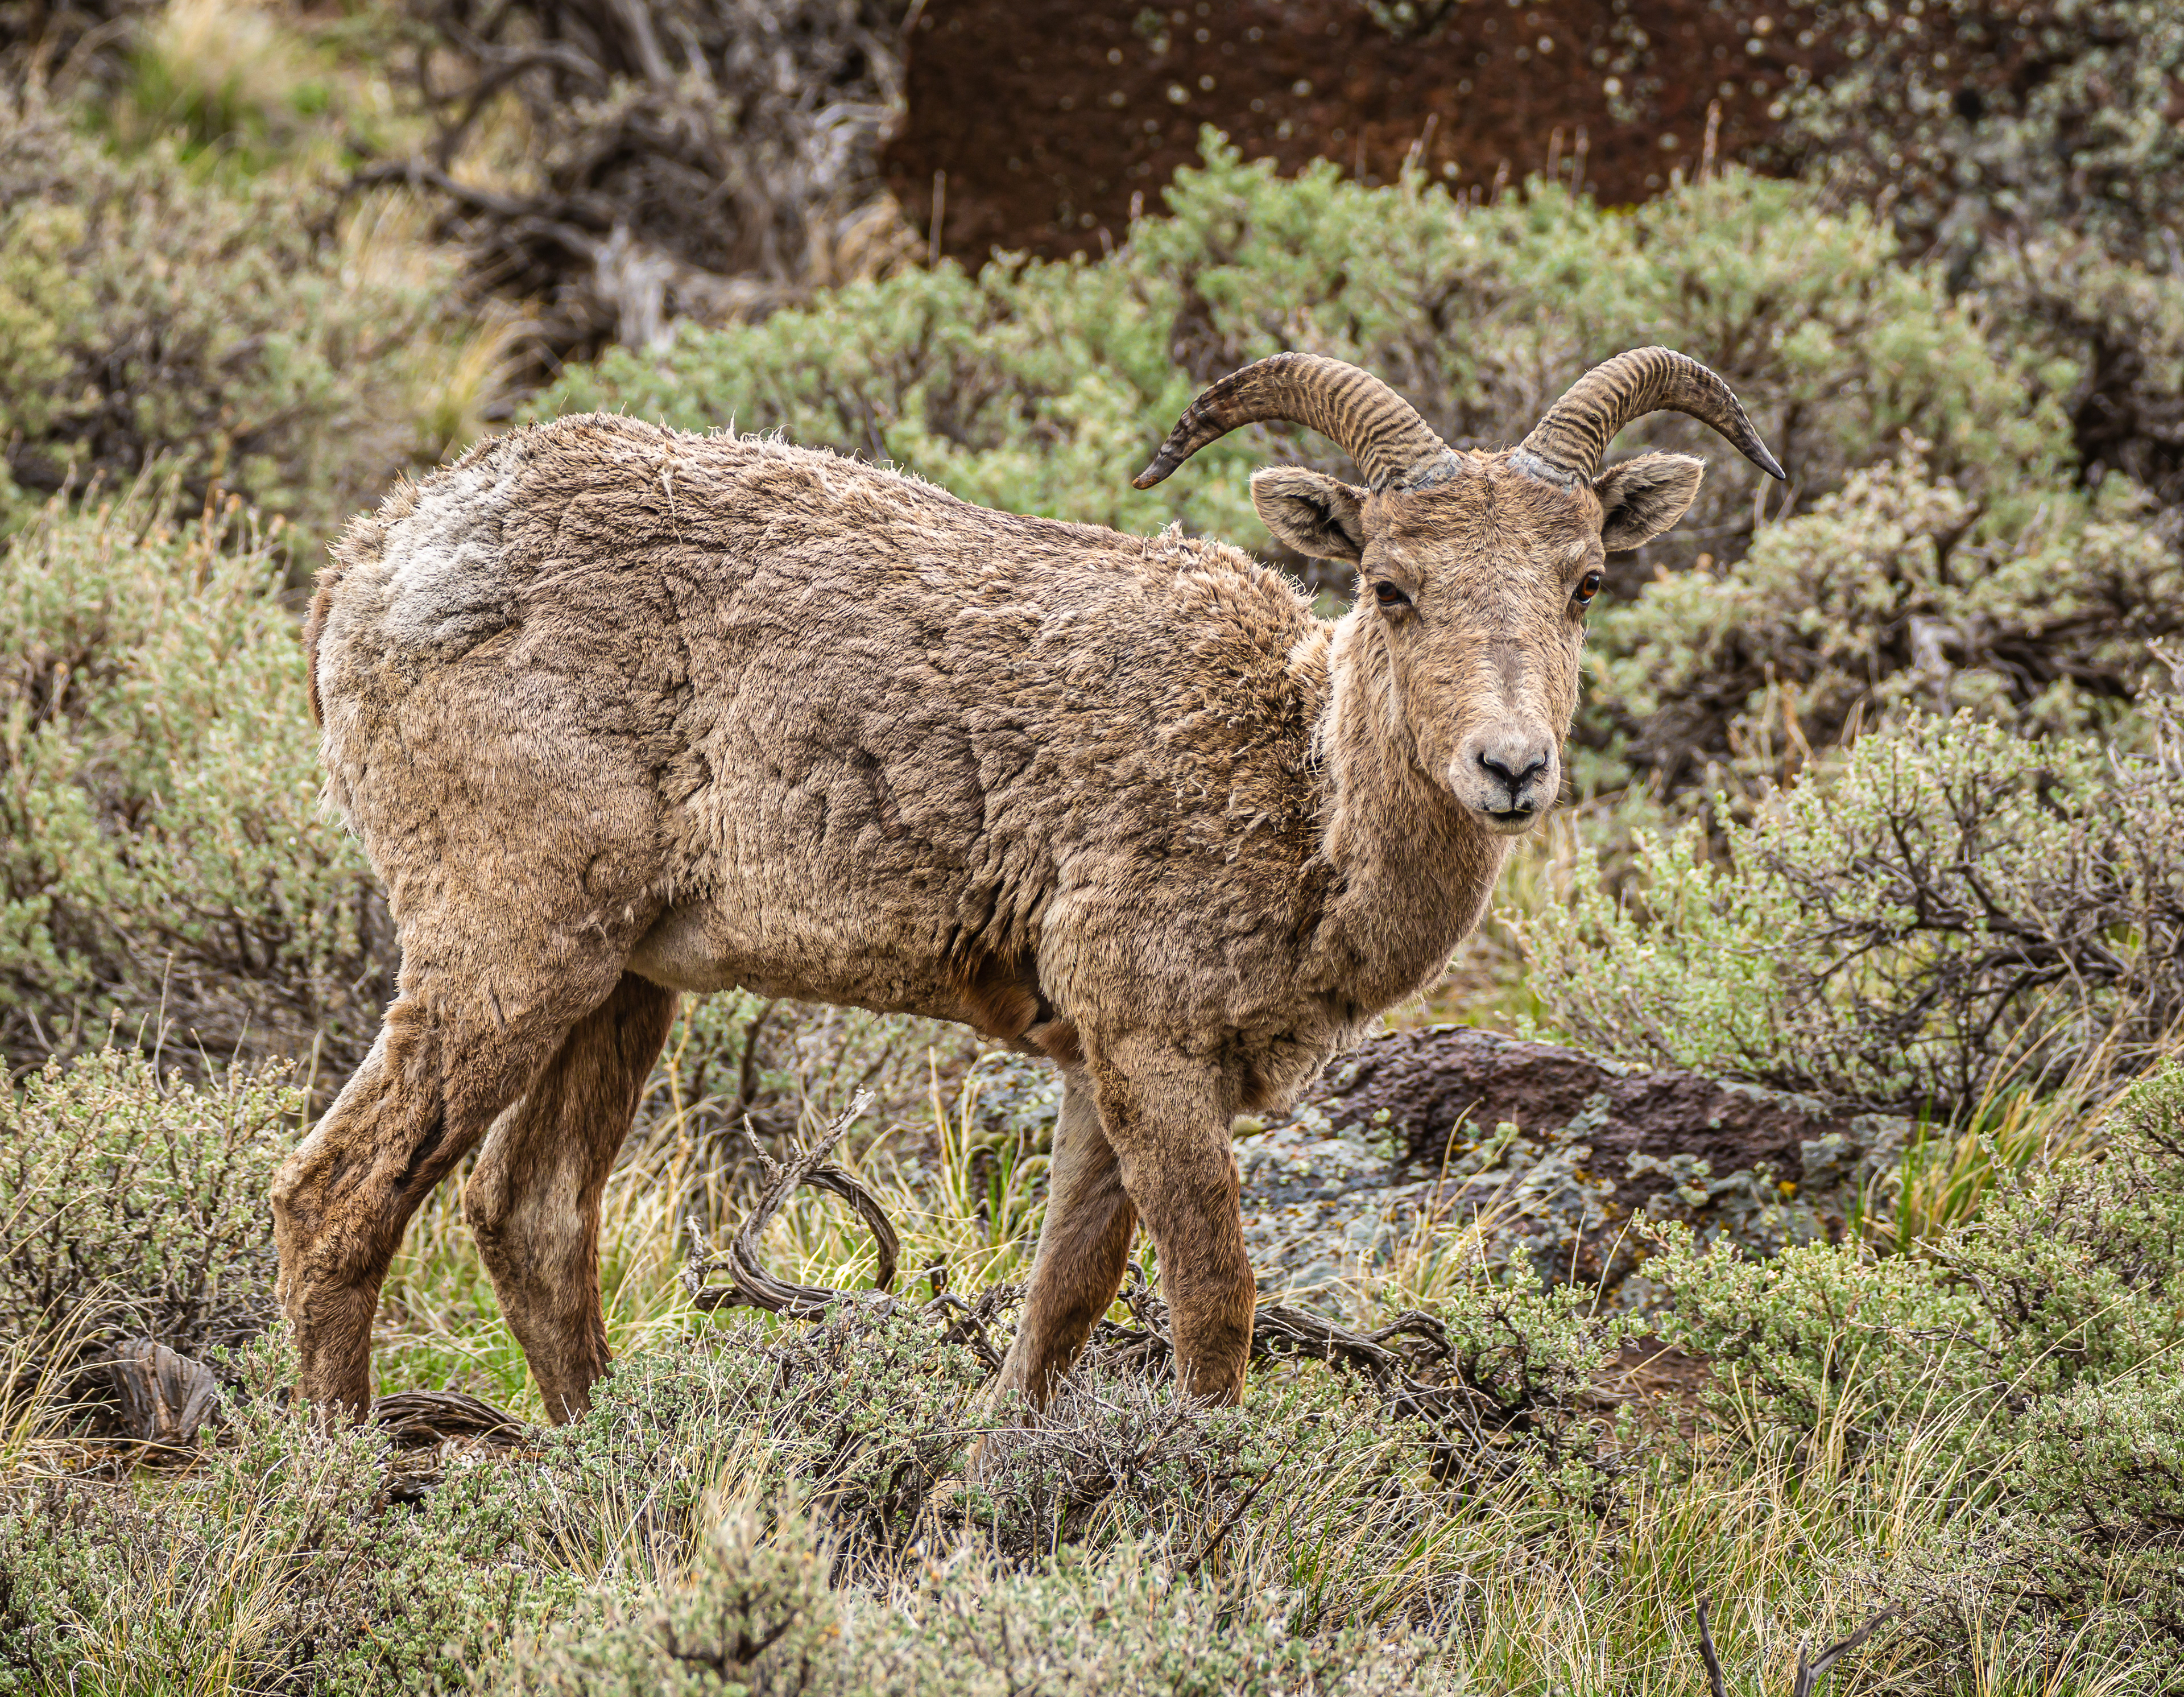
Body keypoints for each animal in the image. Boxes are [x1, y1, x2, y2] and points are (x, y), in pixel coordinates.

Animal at [272, 347, 1783, 1422]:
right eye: (1389, 583)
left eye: (1586, 580)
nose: (1509, 767)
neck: (1295, 794)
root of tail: (369, 574)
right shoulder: (1150, 1044)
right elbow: (1211, 1299)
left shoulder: (1096, 1070)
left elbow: (1063, 1300)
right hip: (506, 946)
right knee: (338, 1195)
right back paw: (351, 1475)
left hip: (626, 981)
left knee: (528, 1215)